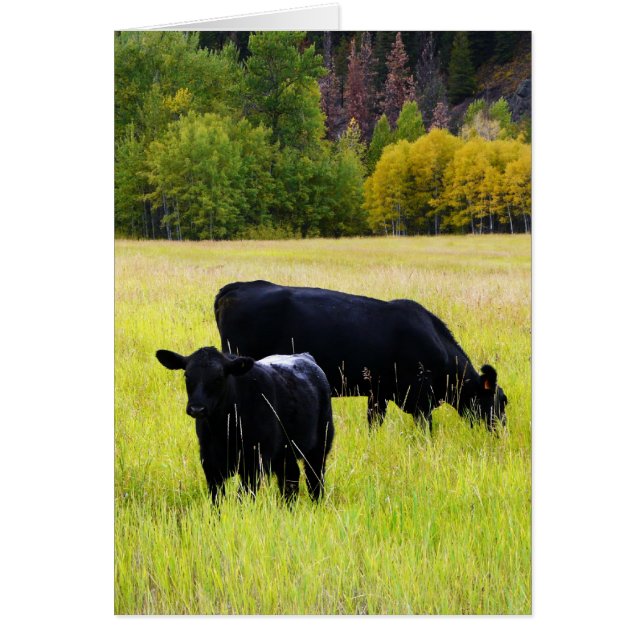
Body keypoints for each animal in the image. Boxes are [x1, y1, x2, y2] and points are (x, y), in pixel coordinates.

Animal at [155, 346, 335, 504]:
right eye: (187, 375)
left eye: (219, 377)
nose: (197, 408)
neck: (225, 431)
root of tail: (304, 356)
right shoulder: (210, 463)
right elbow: (216, 500)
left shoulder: (254, 463)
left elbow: (243, 498)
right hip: (285, 452)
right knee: (290, 479)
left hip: (320, 445)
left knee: (314, 478)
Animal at [215, 280, 508, 433]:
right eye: (500, 401)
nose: (502, 432)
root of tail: (236, 287)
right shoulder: (420, 397)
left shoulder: (378, 393)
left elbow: (374, 423)